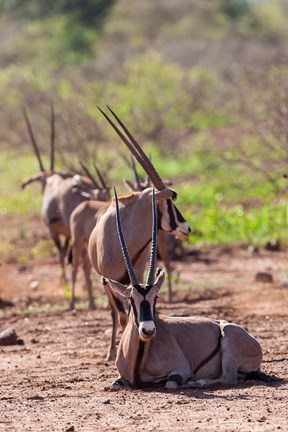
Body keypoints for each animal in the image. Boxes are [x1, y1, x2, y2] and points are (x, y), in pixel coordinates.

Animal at [105, 187, 276, 390]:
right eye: (131, 299)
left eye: (156, 298)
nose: (148, 330)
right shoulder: (119, 379)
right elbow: (114, 384)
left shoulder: (181, 369)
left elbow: (171, 383)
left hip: (229, 343)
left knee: (229, 378)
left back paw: (198, 382)